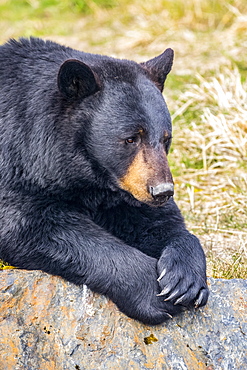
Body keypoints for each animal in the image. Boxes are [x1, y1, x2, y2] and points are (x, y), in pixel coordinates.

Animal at [0, 38, 208, 324]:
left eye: (166, 139)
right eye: (131, 138)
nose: (162, 191)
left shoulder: (123, 190)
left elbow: (158, 221)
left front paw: (184, 280)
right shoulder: (16, 166)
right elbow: (32, 226)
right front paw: (151, 293)